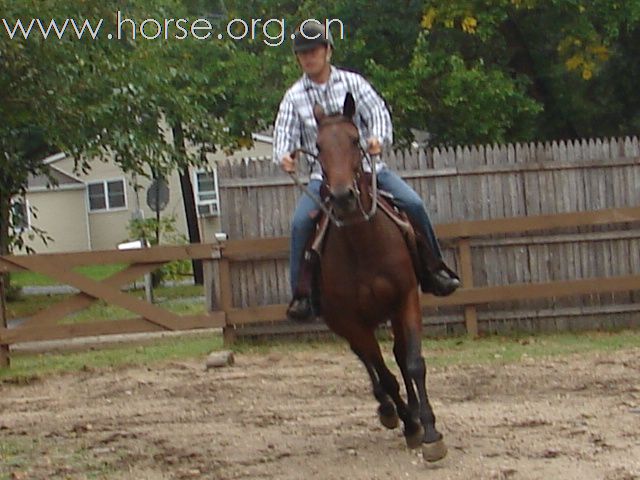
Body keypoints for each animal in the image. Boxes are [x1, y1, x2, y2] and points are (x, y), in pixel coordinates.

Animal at [312, 94, 448, 462]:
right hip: (346, 324)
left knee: (398, 355)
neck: (363, 243)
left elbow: (412, 362)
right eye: (317, 146)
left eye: (355, 140)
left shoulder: (405, 299)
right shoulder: (350, 320)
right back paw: (390, 411)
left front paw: (430, 432)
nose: (342, 196)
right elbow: (384, 375)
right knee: (369, 363)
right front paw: (411, 426)